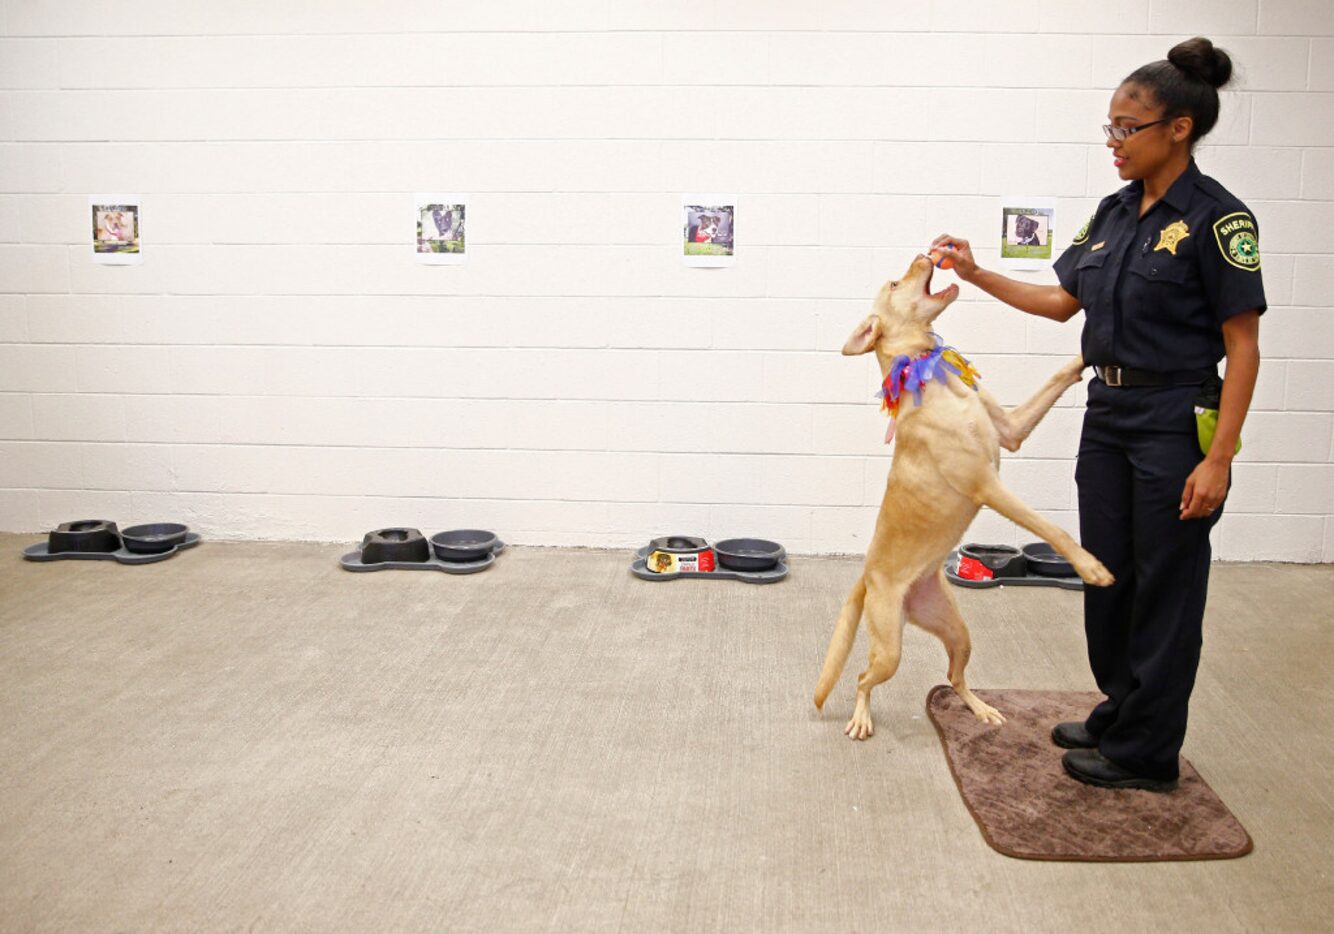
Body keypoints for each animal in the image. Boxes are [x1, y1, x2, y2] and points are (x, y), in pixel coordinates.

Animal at [811, 252, 1115, 741]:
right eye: (895, 283)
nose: (925, 254)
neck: (926, 373)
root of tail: (867, 575)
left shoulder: (1009, 434)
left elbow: (1056, 375)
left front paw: (1091, 351)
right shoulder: (986, 484)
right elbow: (1053, 529)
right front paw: (1091, 567)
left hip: (957, 631)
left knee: (954, 677)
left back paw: (981, 710)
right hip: (890, 647)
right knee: (862, 677)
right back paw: (861, 717)